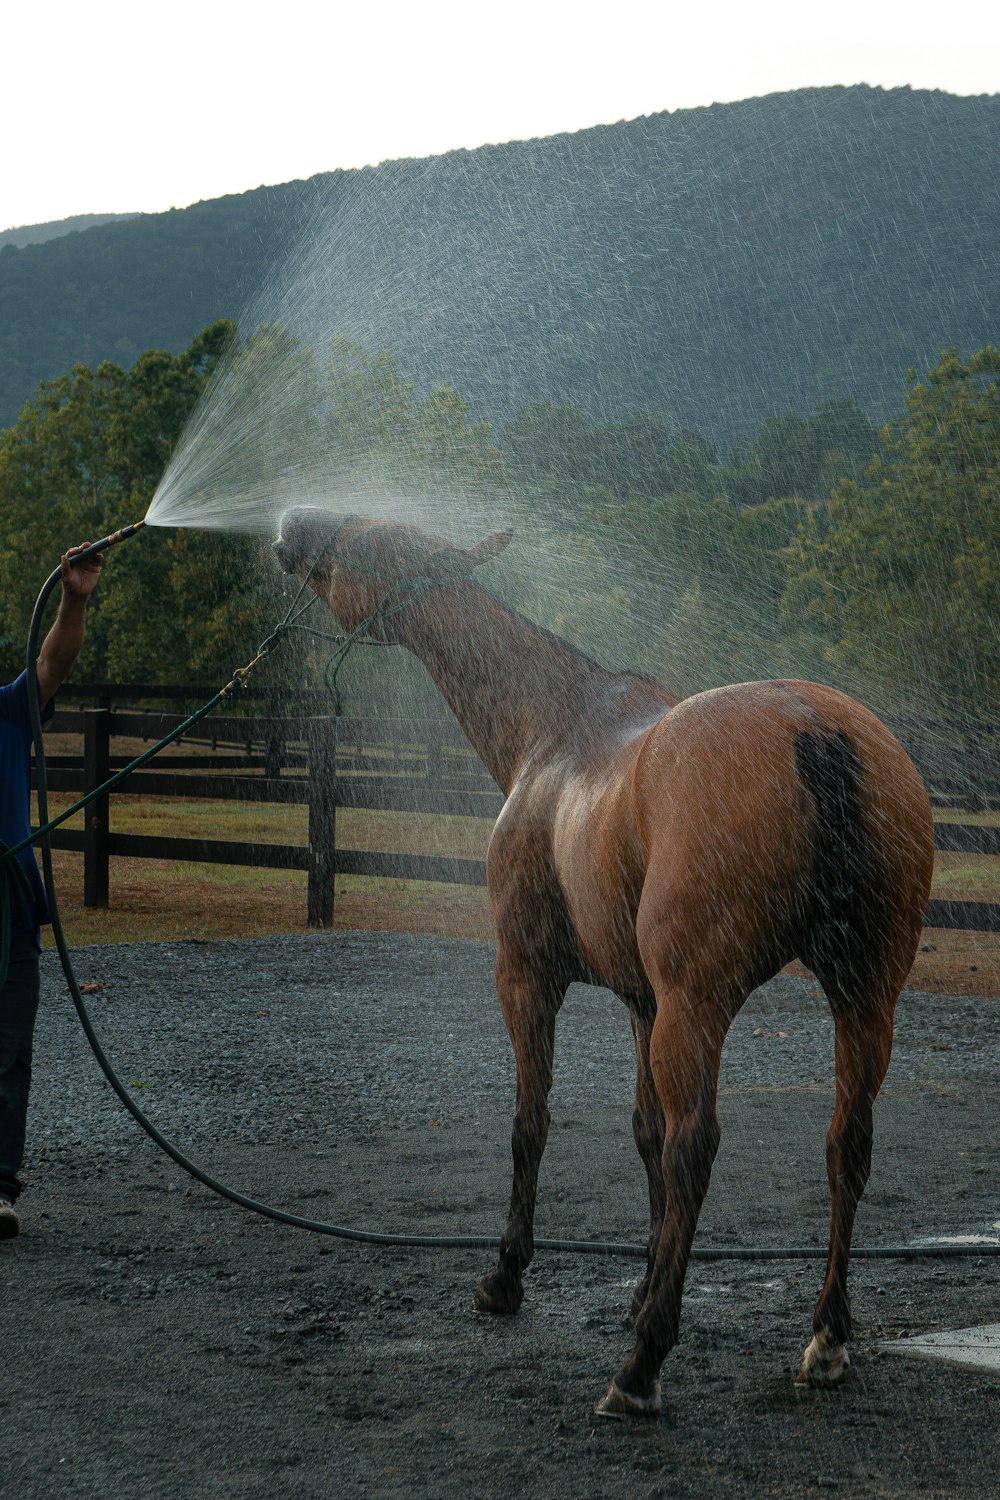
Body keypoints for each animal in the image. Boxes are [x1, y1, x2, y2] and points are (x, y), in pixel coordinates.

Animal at [275, 513, 941, 1416]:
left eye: (368, 539)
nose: (290, 528)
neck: (556, 726)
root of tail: (818, 732)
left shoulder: (528, 978)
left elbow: (533, 1125)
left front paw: (508, 1276)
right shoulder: (641, 1001)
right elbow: (642, 1133)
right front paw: (643, 1281)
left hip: (702, 1005)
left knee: (699, 1146)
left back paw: (641, 1367)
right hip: (863, 998)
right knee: (847, 1144)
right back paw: (826, 1336)